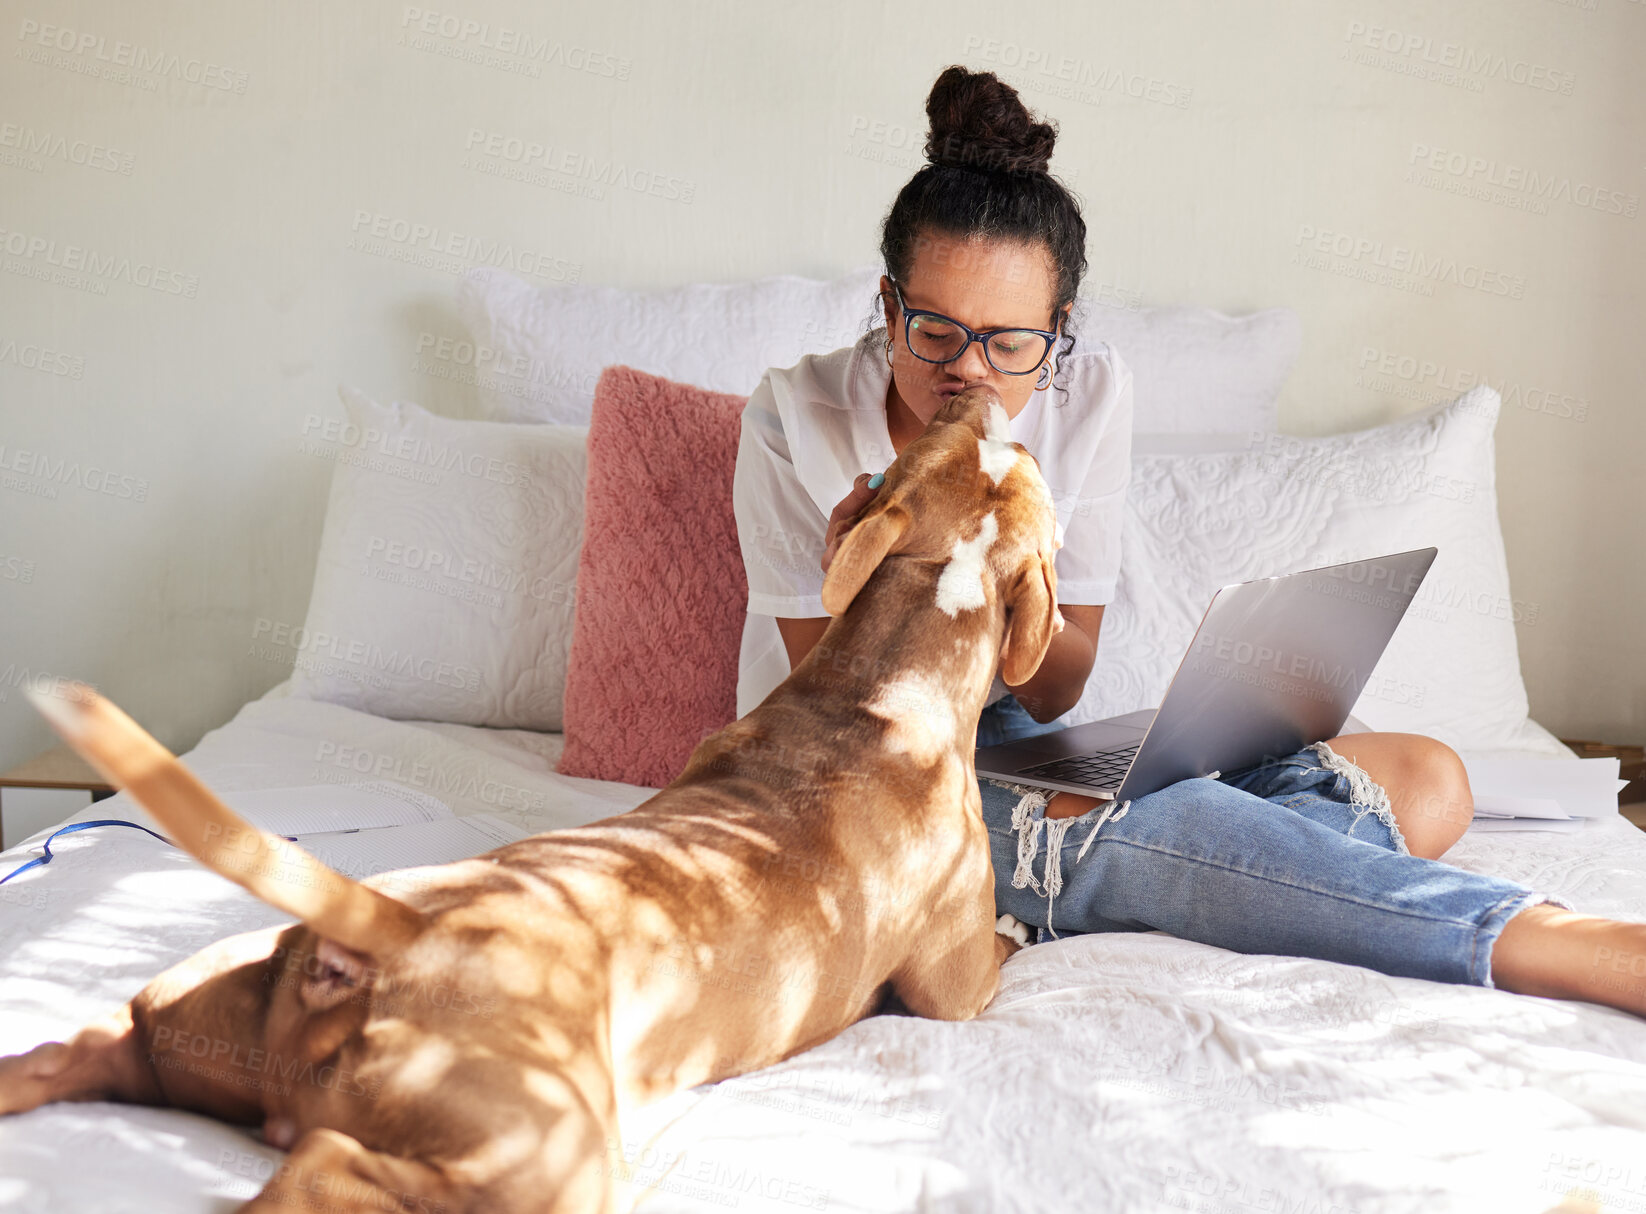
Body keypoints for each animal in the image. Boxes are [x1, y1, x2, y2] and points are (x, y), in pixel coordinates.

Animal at [0, 388, 1060, 1210]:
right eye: (1018, 459)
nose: (978, 390)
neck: (883, 680)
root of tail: (388, 928)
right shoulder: (956, 991)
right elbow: (1002, 947)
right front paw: (1021, 924)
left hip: (177, 1016)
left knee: (70, 1055)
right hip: (540, 1160)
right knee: (324, 1168)